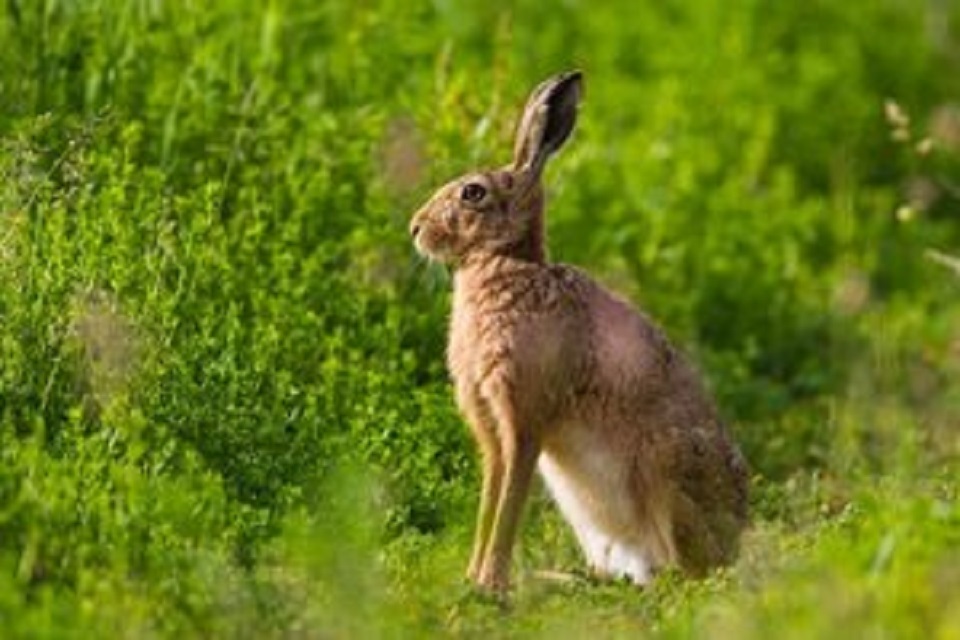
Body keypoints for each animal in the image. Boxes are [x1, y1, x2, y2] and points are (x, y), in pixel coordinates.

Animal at [409, 70, 749, 594]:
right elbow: (490, 500)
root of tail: (739, 541)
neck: (507, 264)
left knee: (685, 574)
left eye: (473, 193)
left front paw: (492, 585)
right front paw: (473, 579)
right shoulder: (491, 426)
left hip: (666, 476)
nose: (415, 228)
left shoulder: (525, 417)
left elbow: (509, 504)